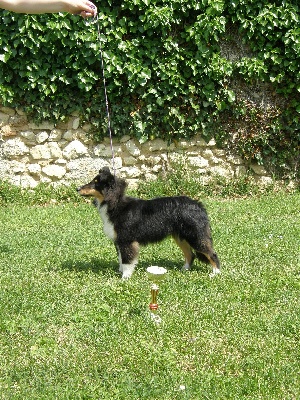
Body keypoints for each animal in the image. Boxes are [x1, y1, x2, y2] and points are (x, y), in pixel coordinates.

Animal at [76, 166, 219, 278]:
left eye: (96, 182)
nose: (77, 189)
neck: (115, 204)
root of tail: (199, 205)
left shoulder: (127, 240)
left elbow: (127, 260)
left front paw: (125, 277)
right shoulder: (119, 241)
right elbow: (121, 259)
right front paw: (121, 272)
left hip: (196, 236)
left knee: (211, 253)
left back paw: (215, 273)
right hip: (181, 237)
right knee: (190, 254)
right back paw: (184, 270)